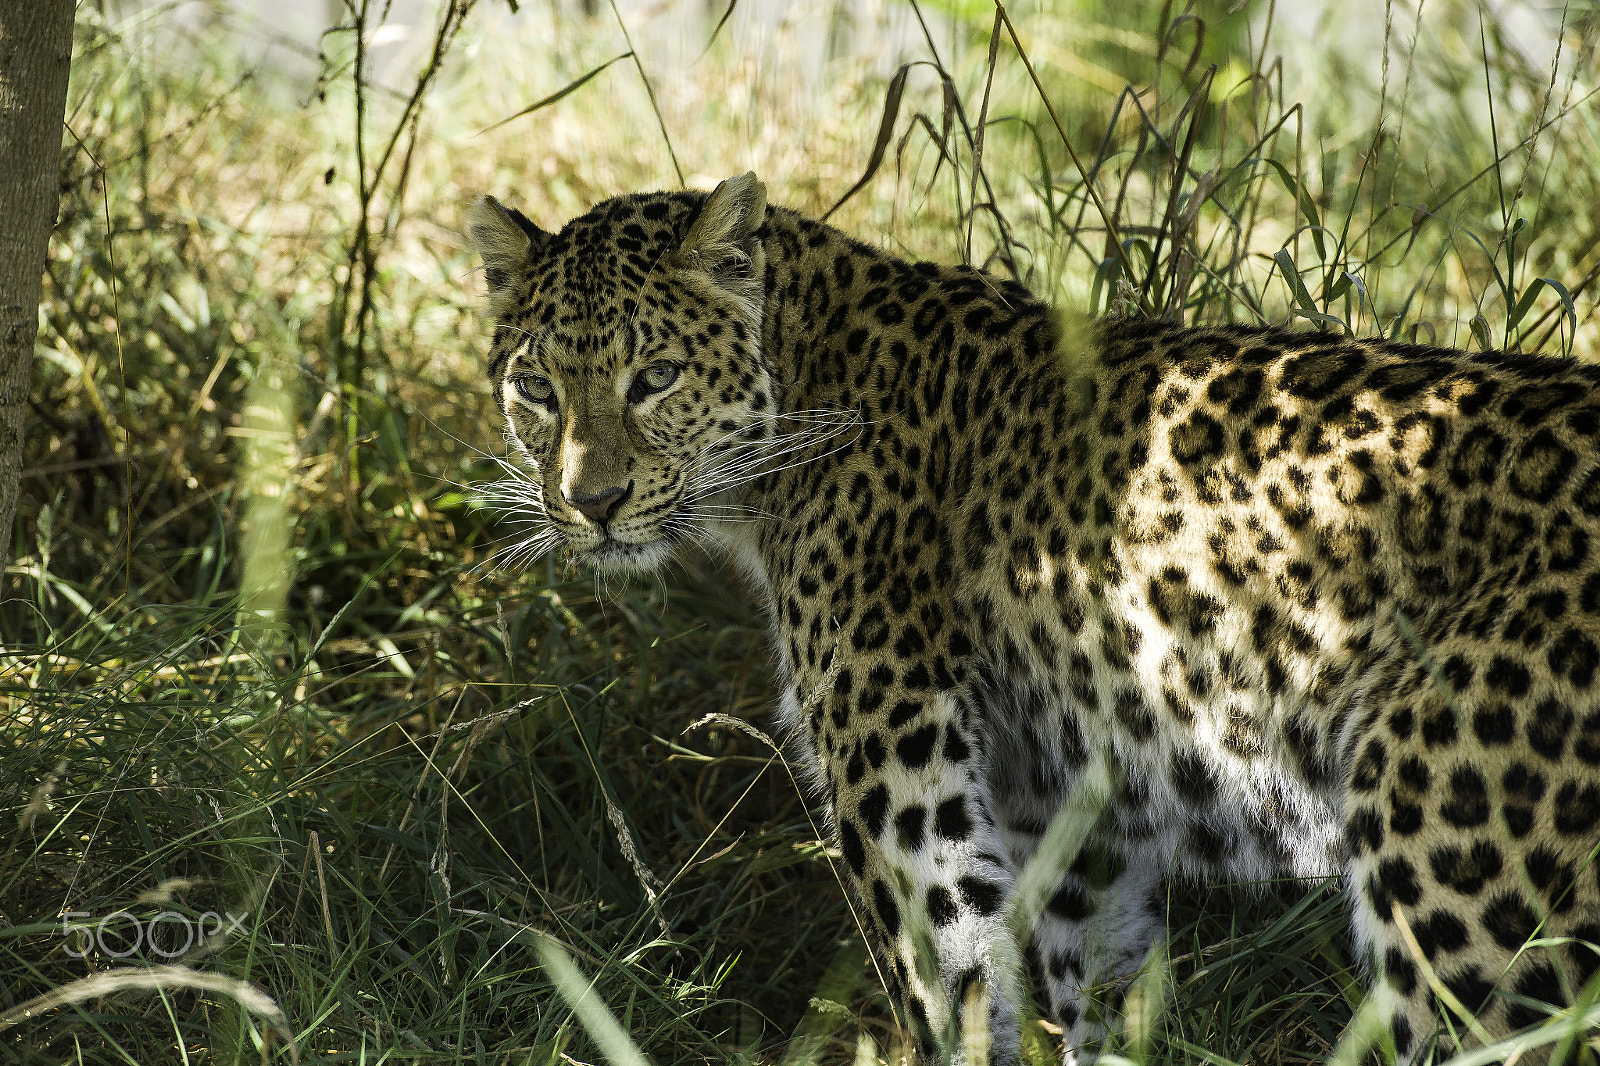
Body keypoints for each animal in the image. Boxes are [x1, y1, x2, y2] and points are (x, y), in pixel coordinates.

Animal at [466, 171, 1600, 1063]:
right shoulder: (1070, 803)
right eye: (536, 389)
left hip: (1456, 871)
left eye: (653, 377)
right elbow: (1086, 991)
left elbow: (954, 990)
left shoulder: (902, 786)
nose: (591, 503)